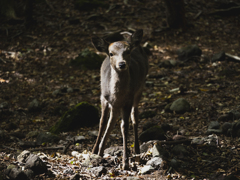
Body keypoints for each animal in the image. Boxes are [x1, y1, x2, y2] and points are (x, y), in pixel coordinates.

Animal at [91, 29, 148, 170]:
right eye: (111, 53)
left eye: (128, 51)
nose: (122, 64)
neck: (117, 95)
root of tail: (126, 33)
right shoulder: (104, 97)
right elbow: (102, 122)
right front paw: (95, 152)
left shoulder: (128, 101)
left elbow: (124, 127)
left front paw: (125, 163)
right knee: (110, 121)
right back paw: (99, 151)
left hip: (139, 91)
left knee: (135, 117)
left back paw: (137, 151)